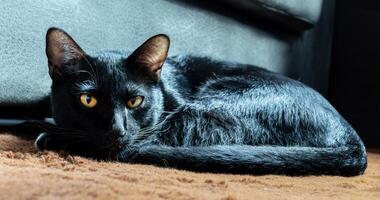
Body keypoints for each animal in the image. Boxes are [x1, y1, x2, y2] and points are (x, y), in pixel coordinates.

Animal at [35, 27, 366, 176]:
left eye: (136, 101)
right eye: (88, 99)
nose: (117, 130)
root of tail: (351, 138)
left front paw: (49, 131)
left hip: (205, 109)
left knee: (136, 148)